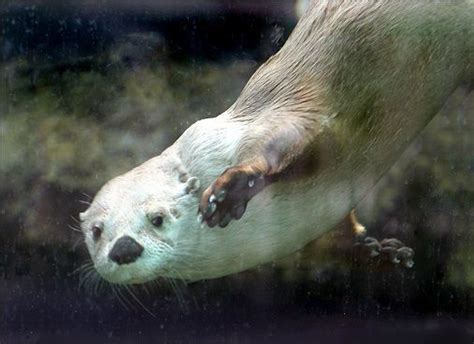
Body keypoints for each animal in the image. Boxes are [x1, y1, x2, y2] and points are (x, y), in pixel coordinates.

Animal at [80, 1, 474, 284]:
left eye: (157, 218)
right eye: (97, 232)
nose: (124, 248)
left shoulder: (262, 122)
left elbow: (284, 139)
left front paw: (227, 193)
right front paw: (378, 251)